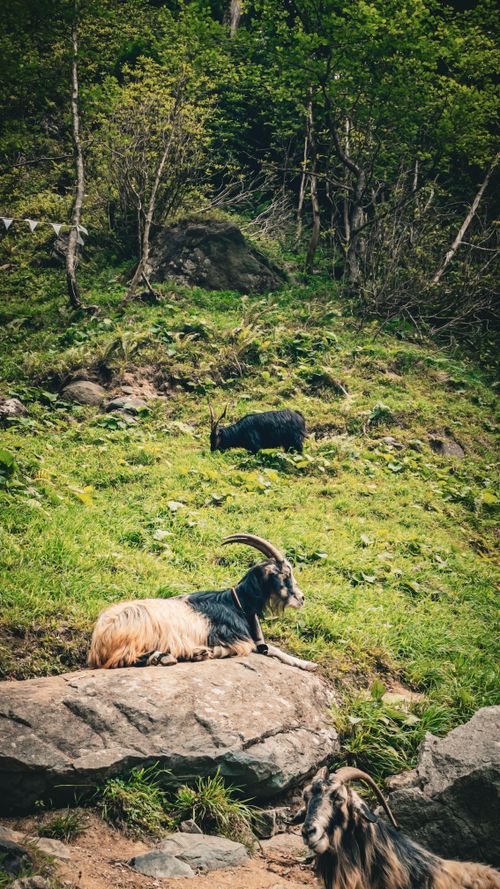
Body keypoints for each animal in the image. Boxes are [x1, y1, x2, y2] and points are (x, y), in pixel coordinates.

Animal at [88, 534, 316, 671]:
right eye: (285, 574)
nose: (302, 598)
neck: (237, 604)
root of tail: (99, 639)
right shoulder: (236, 638)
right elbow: (261, 648)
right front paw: (308, 664)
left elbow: (271, 649)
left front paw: (305, 663)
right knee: (123, 659)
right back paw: (173, 656)